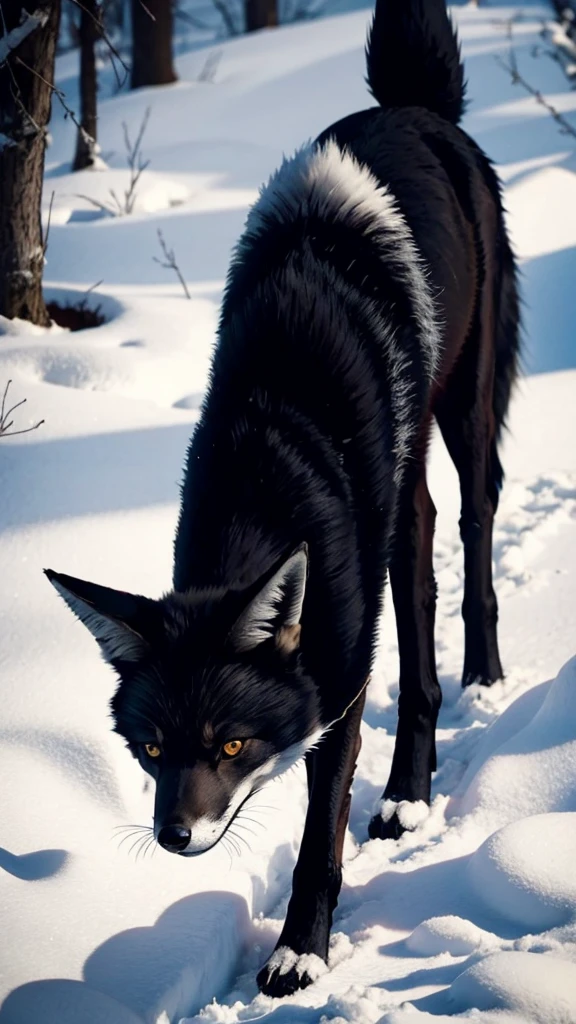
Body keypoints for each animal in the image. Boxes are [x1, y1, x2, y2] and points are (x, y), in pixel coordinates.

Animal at [47, 0, 518, 999]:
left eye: (230, 746)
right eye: (152, 749)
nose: (173, 836)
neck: (262, 480)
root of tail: (412, 106)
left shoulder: (338, 686)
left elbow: (316, 839)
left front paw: (300, 950)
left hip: (465, 404)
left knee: (471, 524)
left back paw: (444, 740)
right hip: (408, 480)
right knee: (427, 539)